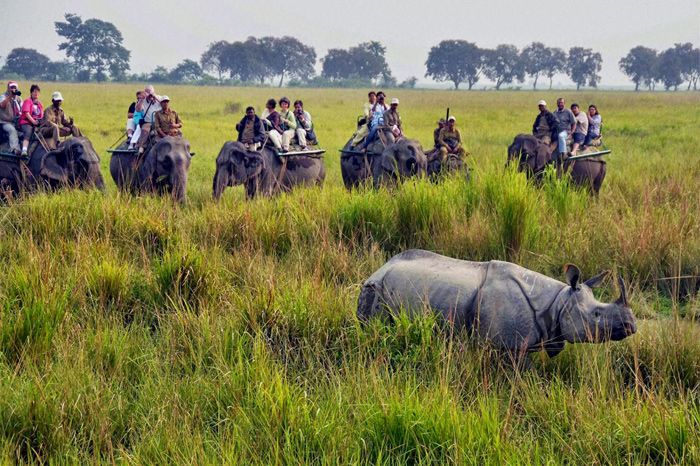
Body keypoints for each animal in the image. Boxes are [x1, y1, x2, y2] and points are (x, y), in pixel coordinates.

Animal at [357, 249, 636, 358]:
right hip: (375, 290)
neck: (558, 302)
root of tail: (379, 268)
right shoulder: (508, 345)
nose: (632, 325)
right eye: (597, 314)